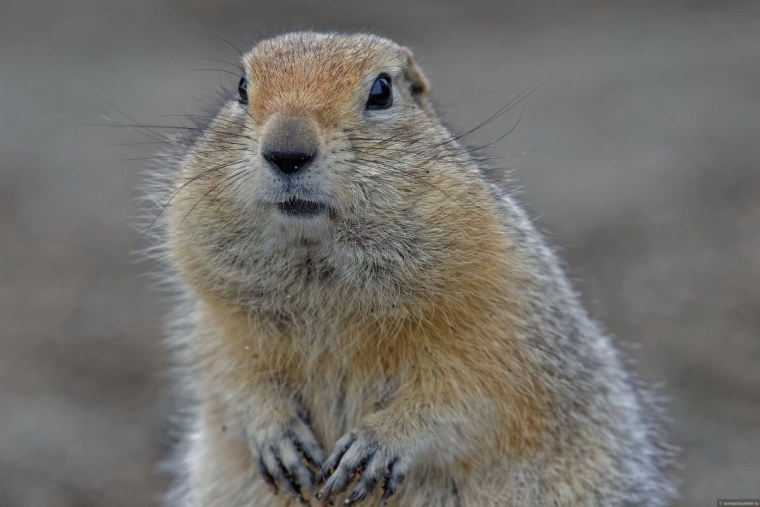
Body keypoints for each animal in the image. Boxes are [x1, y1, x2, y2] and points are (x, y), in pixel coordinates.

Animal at [147, 32, 675, 506]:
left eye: (382, 91)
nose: (286, 150)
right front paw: (278, 438)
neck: (321, 273)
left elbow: (472, 396)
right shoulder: (217, 322)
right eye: (241, 86)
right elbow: (229, 377)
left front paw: (375, 445)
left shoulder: (501, 318)